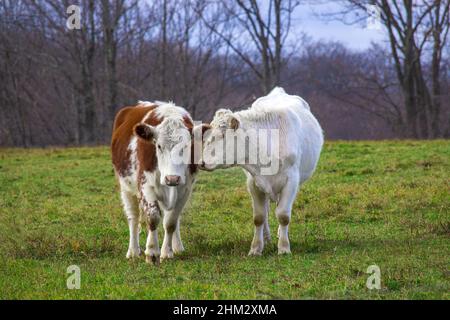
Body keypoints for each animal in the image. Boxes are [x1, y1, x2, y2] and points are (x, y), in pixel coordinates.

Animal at [111, 101, 197, 264]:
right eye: (159, 146)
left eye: (186, 147)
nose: (172, 178)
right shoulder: (146, 186)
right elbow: (153, 217)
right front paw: (151, 252)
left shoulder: (185, 189)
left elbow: (171, 222)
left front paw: (167, 252)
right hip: (126, 188)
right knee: (133, 218)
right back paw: (133, 251)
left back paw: (177, 247)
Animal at [200, 87, 324, 255]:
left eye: (223, 135)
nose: (201, 162)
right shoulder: (253, 183)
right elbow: (259, 217)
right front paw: (256, 248)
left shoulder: (291, 182)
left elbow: (283, 215)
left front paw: (284, 247)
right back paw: (267, 237)